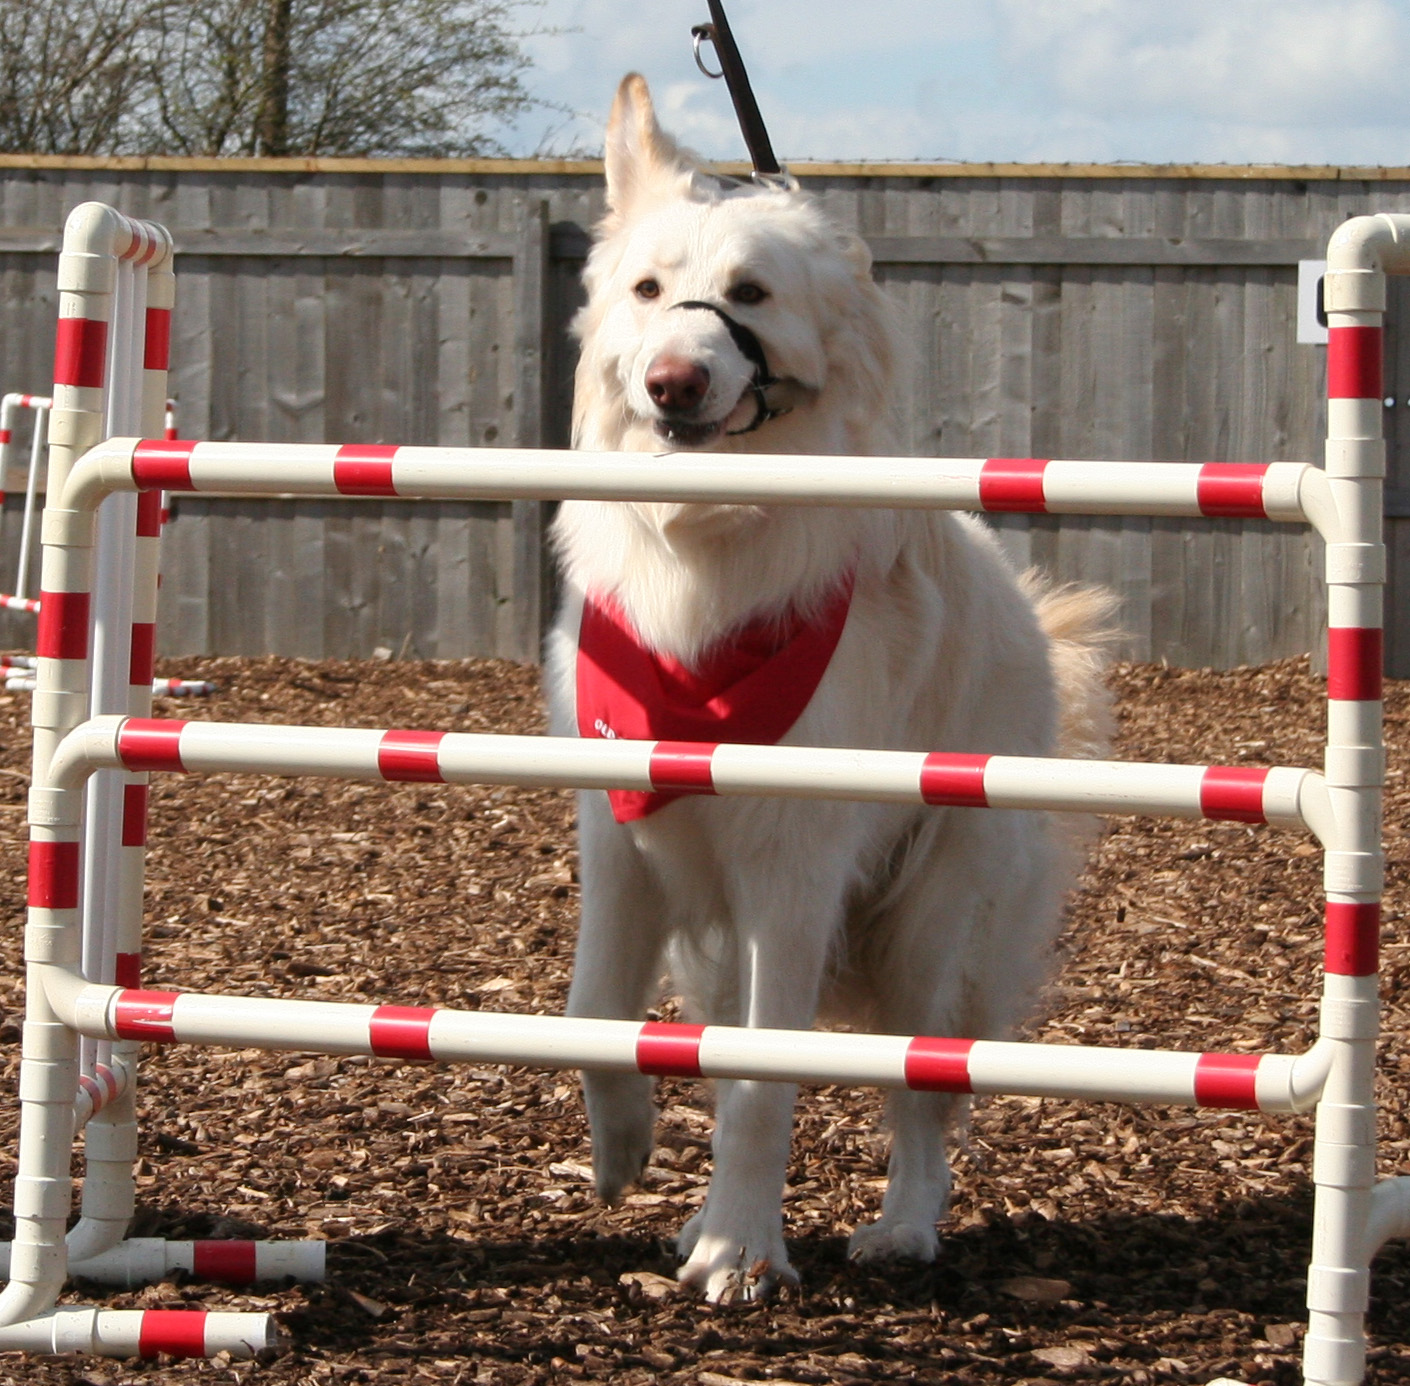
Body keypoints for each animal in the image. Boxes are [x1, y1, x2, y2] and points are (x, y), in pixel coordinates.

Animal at [544, 75, 1105, 1308]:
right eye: (649, 291)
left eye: (749, 295)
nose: (674, 379)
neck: (710, 534)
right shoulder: (623, 835)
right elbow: (597, 1009)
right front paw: (623, 1149)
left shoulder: (789, 872)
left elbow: (766, 1085)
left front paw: (741, 1249)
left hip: (932, 934)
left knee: (923, 1097)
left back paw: (900, 1227)